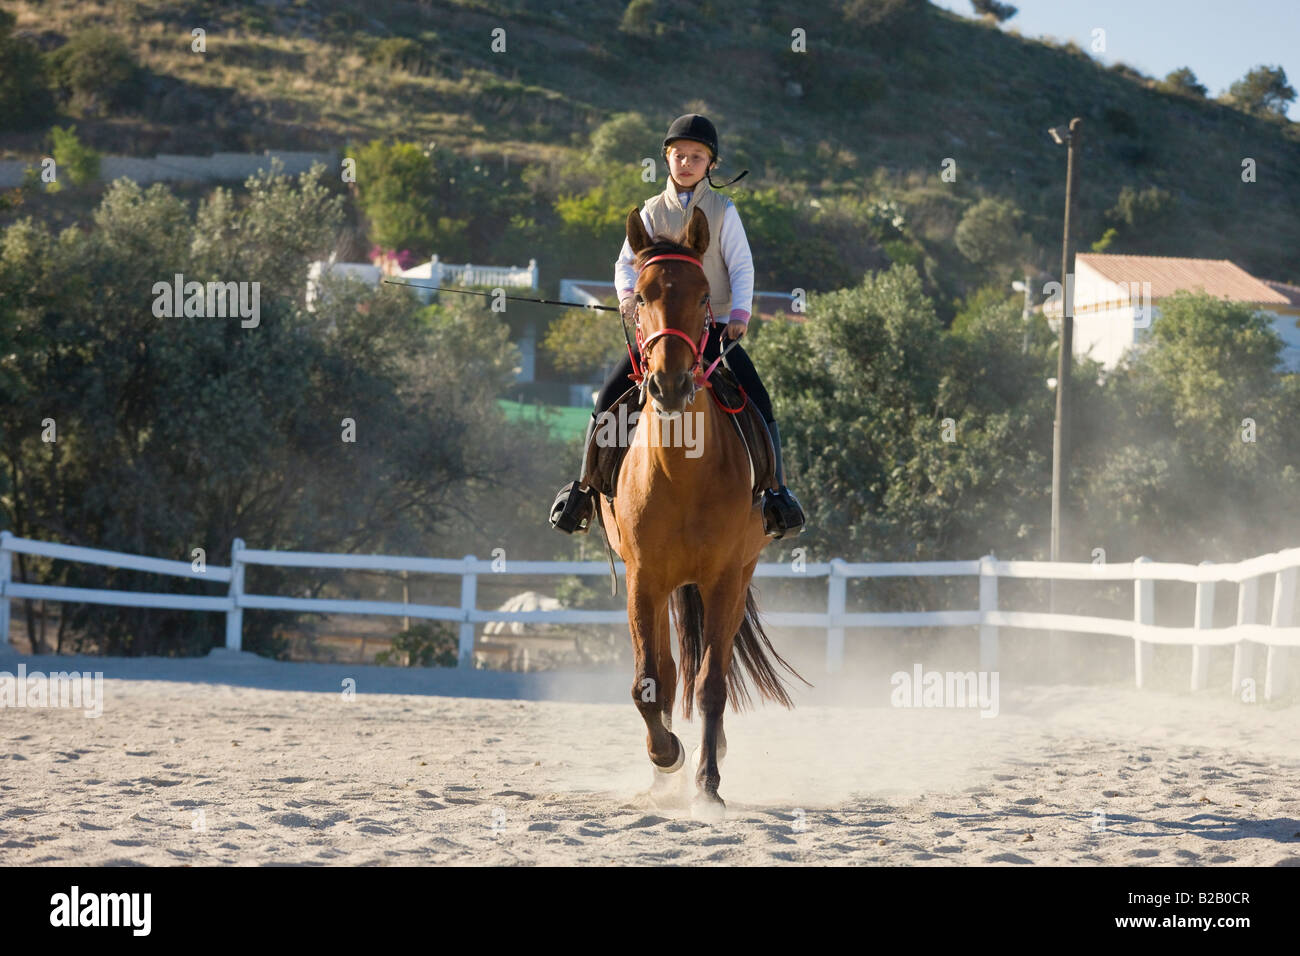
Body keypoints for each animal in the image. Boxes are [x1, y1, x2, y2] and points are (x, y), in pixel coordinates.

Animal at [595, 205, 800, 816]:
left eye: (704, 293)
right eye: (640, 295)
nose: (669, 383)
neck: (682, 473)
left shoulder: (725, 579)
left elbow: (711, 684)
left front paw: (707, 784)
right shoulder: (643, 580)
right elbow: (647, 683)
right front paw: (668, 758)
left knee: (716, 668)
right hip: (663, 587)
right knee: (663, 672)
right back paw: (662, 774)